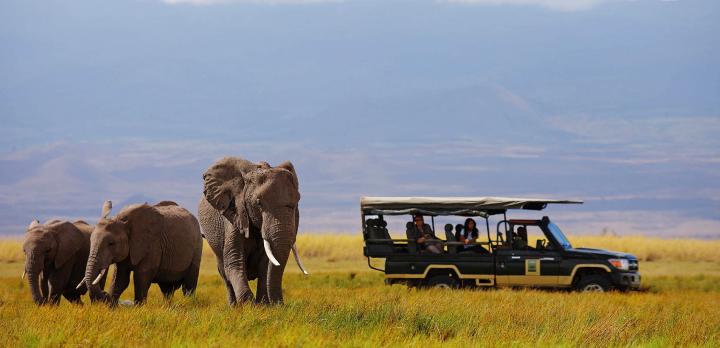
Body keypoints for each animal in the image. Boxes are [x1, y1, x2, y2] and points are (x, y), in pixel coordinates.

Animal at [198, 157, 308, 304]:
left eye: (296, 202)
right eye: (258, 203)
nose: (281, 303)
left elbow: (266, 264)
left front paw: (263, 305)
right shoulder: (235, 213)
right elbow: (234, 260)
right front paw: (248, 305)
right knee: (224, 274)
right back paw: (233, 306)